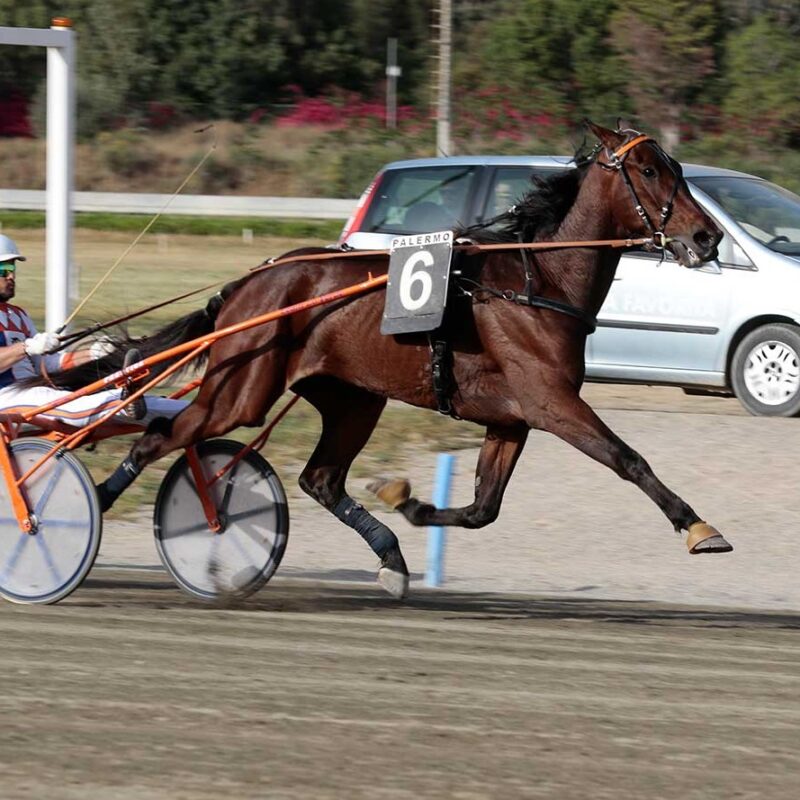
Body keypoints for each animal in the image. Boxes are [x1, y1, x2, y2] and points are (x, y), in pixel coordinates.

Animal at [48, 123, 732, 600]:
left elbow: (483, 509)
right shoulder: (551, 402)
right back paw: (83, 513)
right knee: (160, 435)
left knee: (319, 479)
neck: (536, 282)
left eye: (677, 168)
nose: (709, 237)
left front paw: (410, 501)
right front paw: (699, 527)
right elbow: (628, 458)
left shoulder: (511, 417)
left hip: (352, 397)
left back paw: (392, 559)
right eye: (648, 169)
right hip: (239, 392)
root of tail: (244, 287)